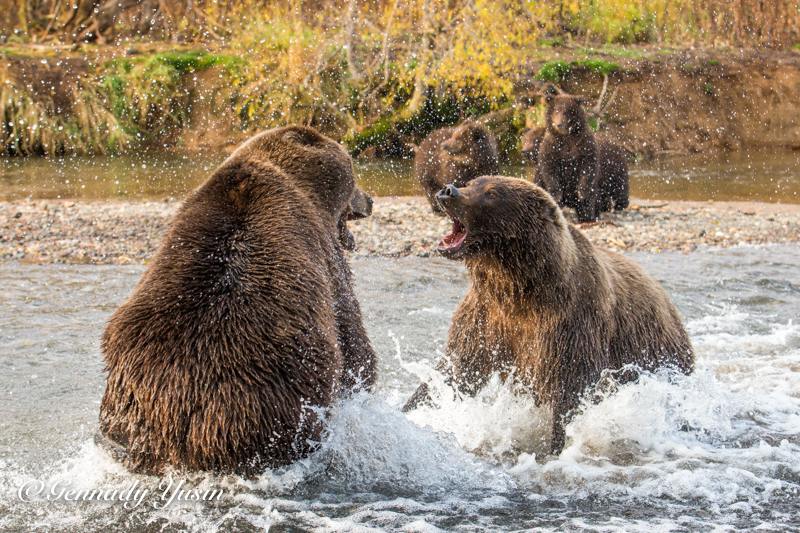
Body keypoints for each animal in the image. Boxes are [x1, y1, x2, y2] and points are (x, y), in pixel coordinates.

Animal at [406, 177, 692, 456]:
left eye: (491, 193)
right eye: (471, 182)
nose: (448, 191)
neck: (521, 291)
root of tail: (669, 302)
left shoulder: (571, 323)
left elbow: (570, 389)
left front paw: (555, 445)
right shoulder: (486, 318)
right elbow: (456, 369)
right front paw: (410, 408)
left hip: (660, 353)